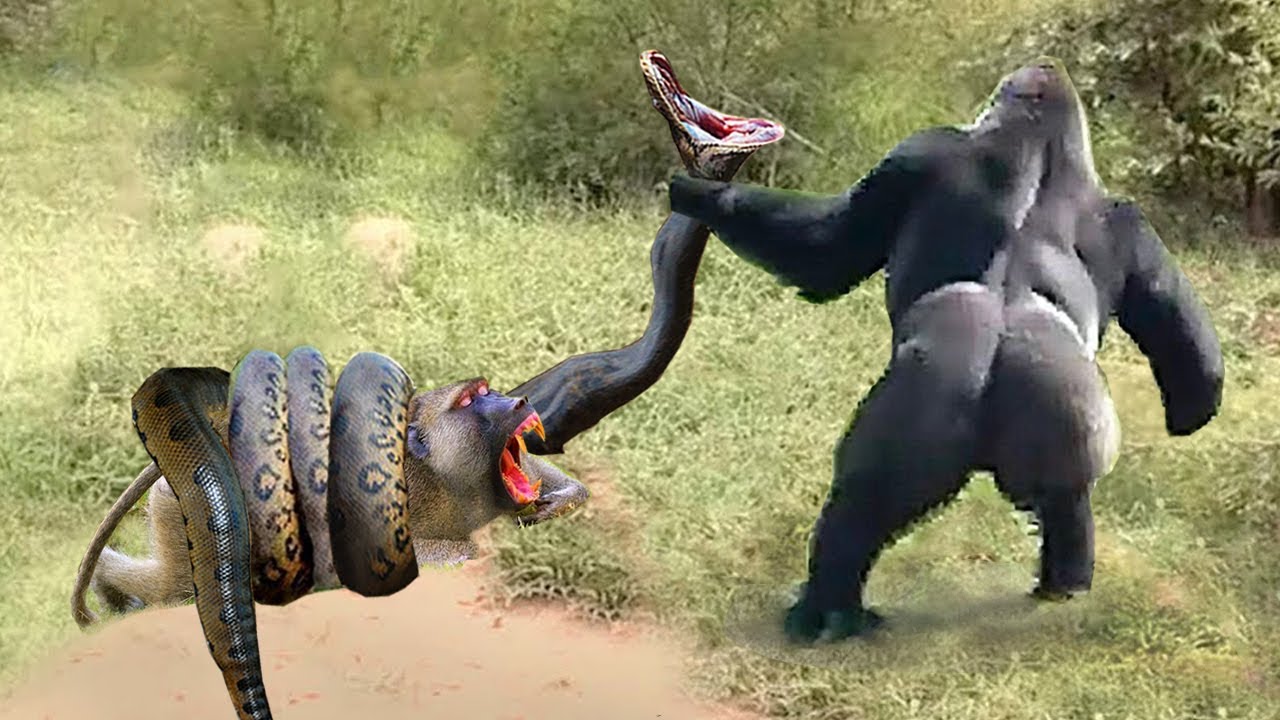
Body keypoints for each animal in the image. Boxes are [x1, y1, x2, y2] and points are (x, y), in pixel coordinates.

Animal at [665, 57, 1225, 643]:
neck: (1039, 143)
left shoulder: (921, 153)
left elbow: (828, 254)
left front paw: (698, 195)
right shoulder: (1124, 219)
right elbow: (1172, 317)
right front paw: (1195, 408)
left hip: (928, 411)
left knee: (862, 502)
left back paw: (826, 607)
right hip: (1064, 414)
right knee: (1064, 501)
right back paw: (1065, 584)